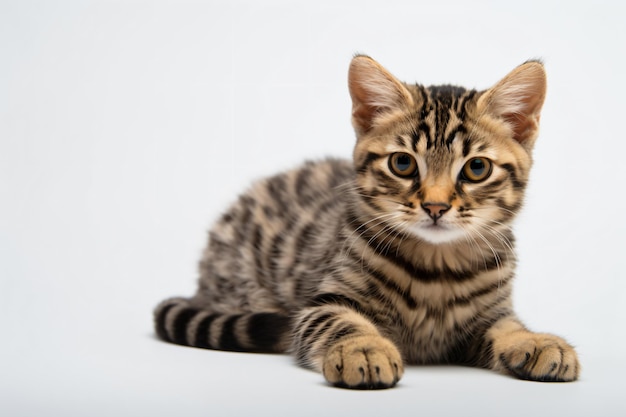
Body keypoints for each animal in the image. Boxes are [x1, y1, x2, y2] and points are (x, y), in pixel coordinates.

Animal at [154, 54, 576, 386]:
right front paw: (364, 349)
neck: (437, 269)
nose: (435, 207)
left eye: (476, 169)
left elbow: (509, 325)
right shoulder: (322, 301)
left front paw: (535, 340)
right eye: (403, 163)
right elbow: (341, 321)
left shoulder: (490, 314)